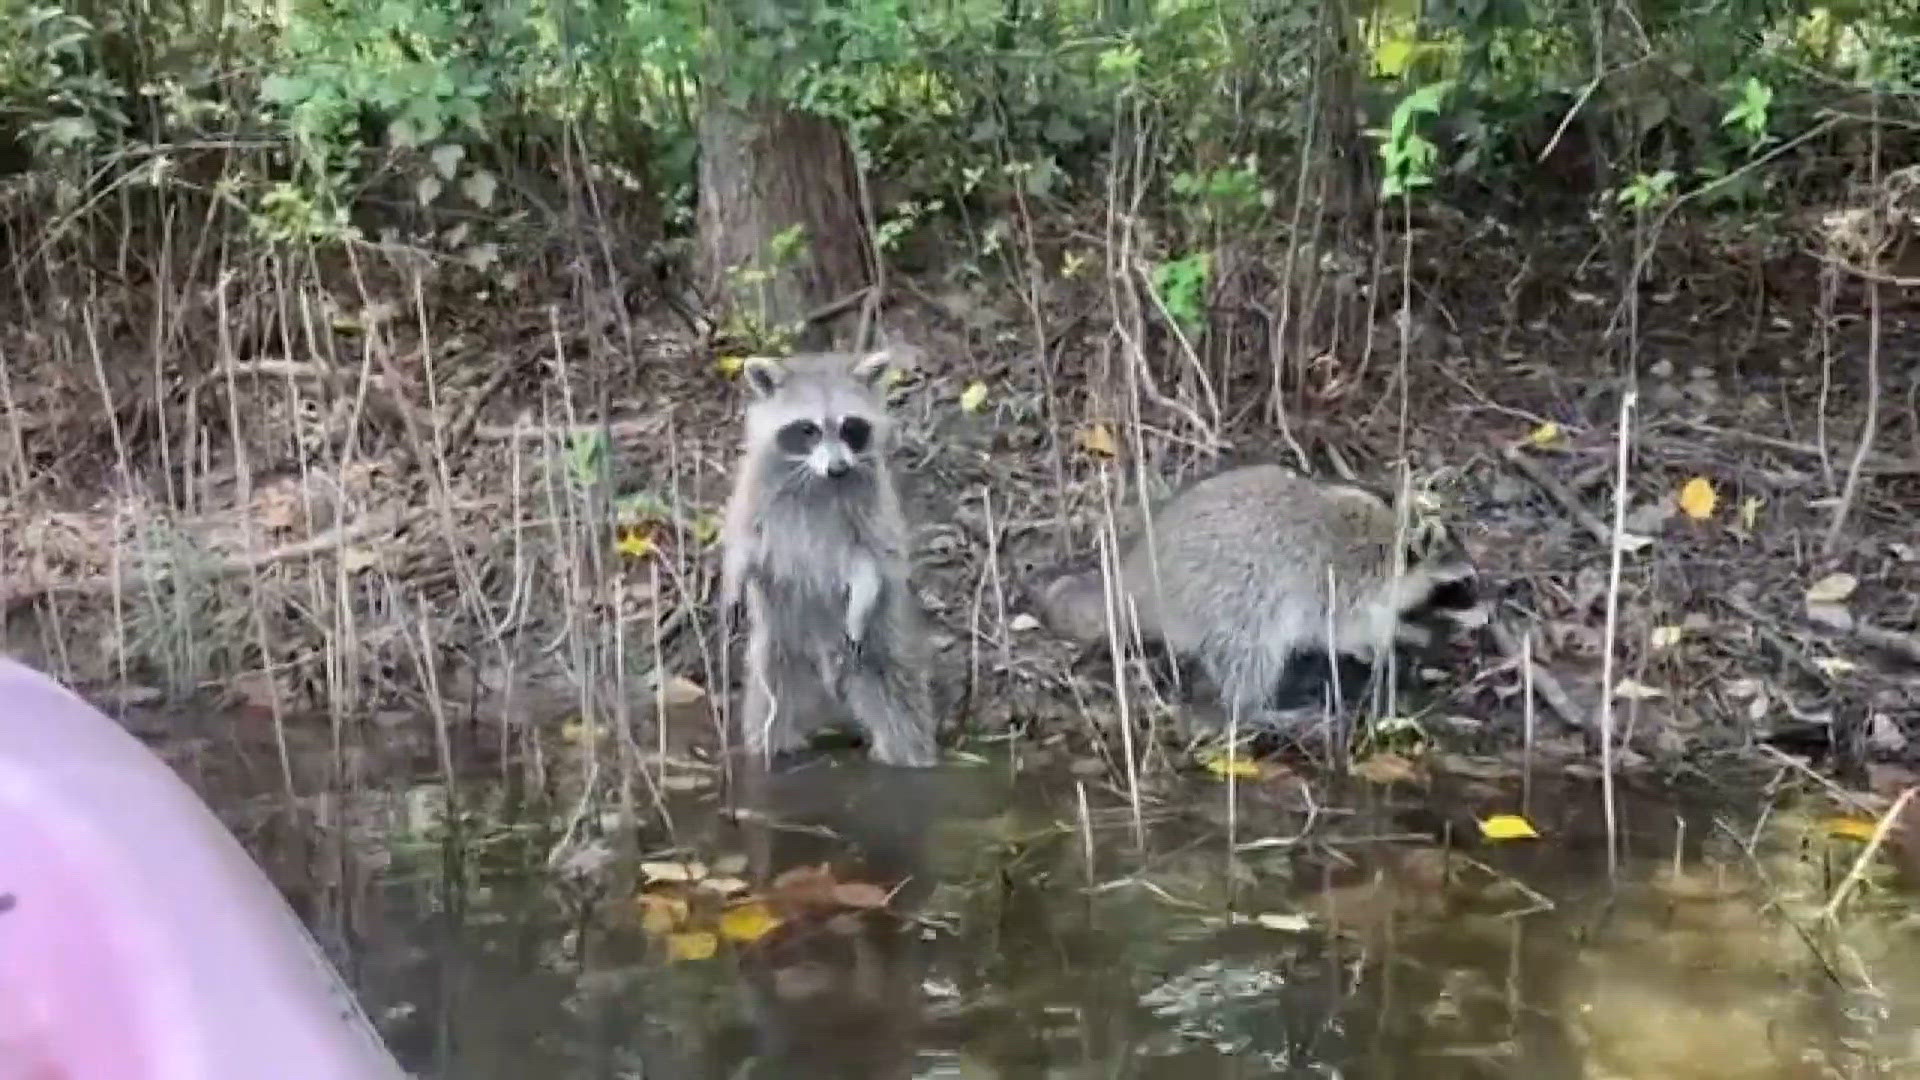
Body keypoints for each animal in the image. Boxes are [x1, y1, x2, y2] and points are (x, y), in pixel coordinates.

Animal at [718, 348, 939, 768]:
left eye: (850, 427)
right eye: (809, 429)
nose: (838, 468)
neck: (816, 478)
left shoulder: (870, 503)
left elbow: (870, 560)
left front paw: (860, 602)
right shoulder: (755, 491)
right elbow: (746, 545)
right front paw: (733, 582)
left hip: (879, 647)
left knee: (901, 708)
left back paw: (909, 755)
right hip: (779, 650)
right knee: (769, 712)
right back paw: (770, 748)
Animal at [1030, 463, 1486, 732]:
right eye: (1462, 587)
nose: (1485, 616)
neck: (1395, 547)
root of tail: (1137, 580)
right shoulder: (1344, 581)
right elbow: (1341, 627)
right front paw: (1385, 637)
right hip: (1232, 593)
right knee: (1251, 650)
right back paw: (1256, 709)